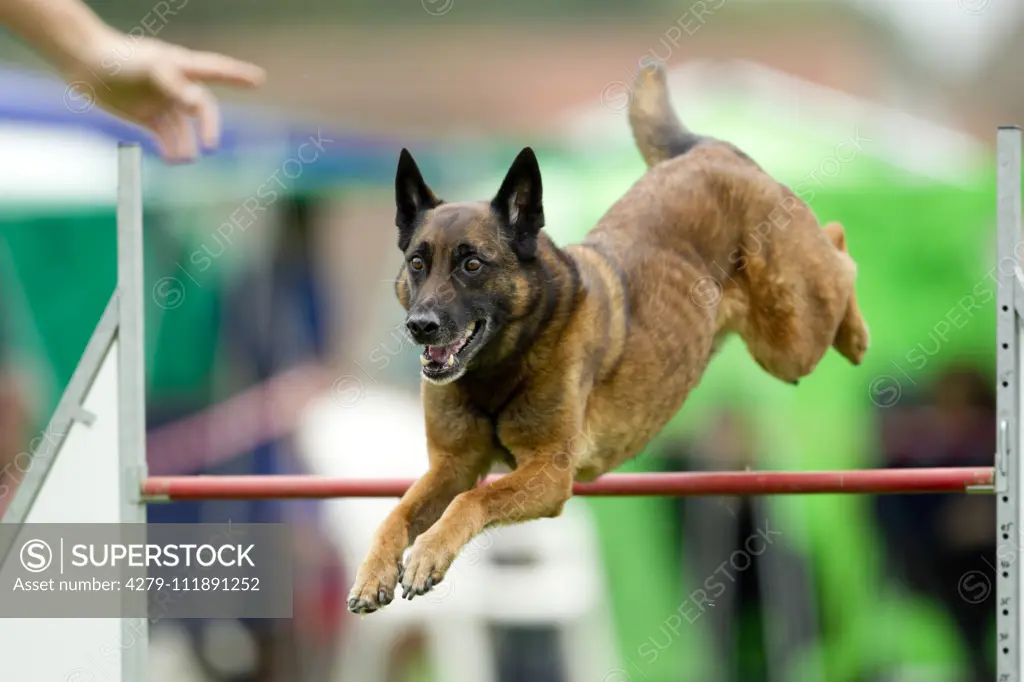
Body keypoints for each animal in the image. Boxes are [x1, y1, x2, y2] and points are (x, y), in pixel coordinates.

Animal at [348, 59, 868, 610]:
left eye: (472, 264)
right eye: (417, 263)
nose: (420, 326)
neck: (500, 366)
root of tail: (705, 148)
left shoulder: (550, 474)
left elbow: (473, 498)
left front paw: (427, 554)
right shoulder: (451, 466)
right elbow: (397, 513)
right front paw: (375, 570)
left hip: (788, 341)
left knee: (839, 249)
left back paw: (856, 335)